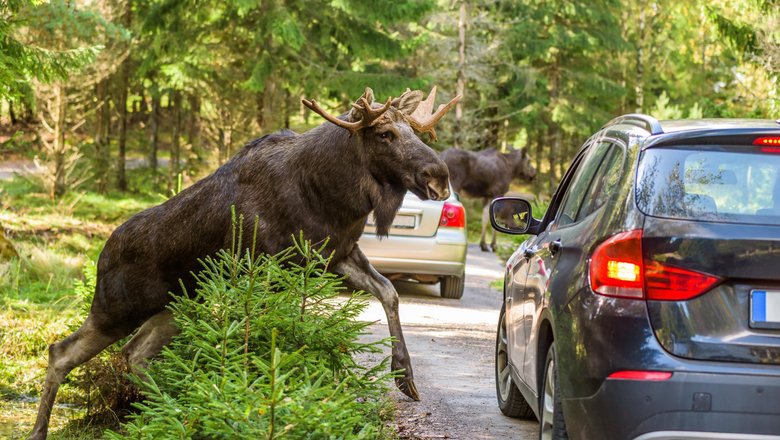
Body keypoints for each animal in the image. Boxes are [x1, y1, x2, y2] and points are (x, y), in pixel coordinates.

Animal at [30, 86, 460, 436]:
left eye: (415, 132)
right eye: (385, 134)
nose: (439, 176)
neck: (332, 196)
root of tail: (101, 255)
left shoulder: (336, 255)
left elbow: (389, 293)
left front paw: (404, 374)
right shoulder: (270, 266)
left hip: (176, 306)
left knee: (134, 353)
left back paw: (176, 405)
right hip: (118, 308)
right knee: (61, 353)